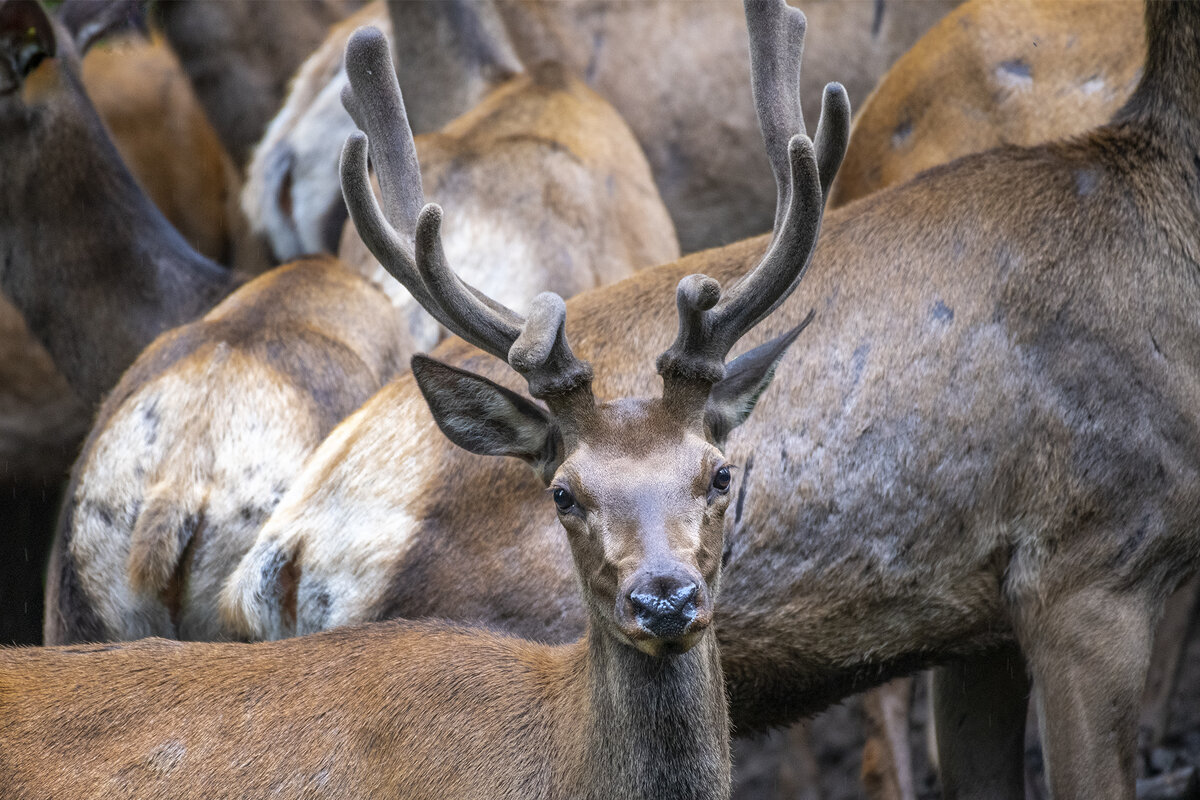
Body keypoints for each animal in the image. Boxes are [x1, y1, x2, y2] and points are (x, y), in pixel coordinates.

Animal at [225, 0, 1200, 796]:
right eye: (563, 494)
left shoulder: (979, 623)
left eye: (723, 474)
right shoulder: (1086, 563)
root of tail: (286, 545)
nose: (665, 598)